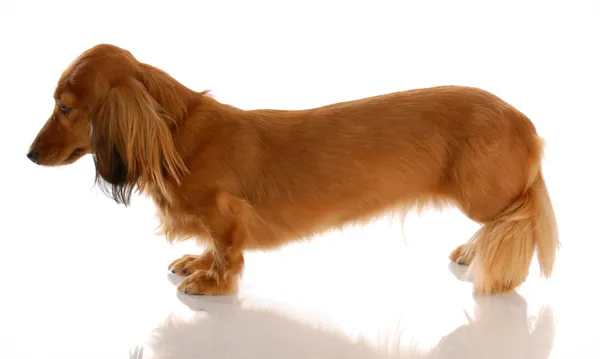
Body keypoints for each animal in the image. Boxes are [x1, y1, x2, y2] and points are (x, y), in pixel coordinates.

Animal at [27, 44, 564, 296]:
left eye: (65, 108)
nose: (28, 156)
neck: (177, 136)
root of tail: (526, 124)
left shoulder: (225, 215)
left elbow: (226, 250)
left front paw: (210, 281)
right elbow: (210, 246)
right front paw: (197, 261)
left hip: (483, 192)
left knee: (522, 207)